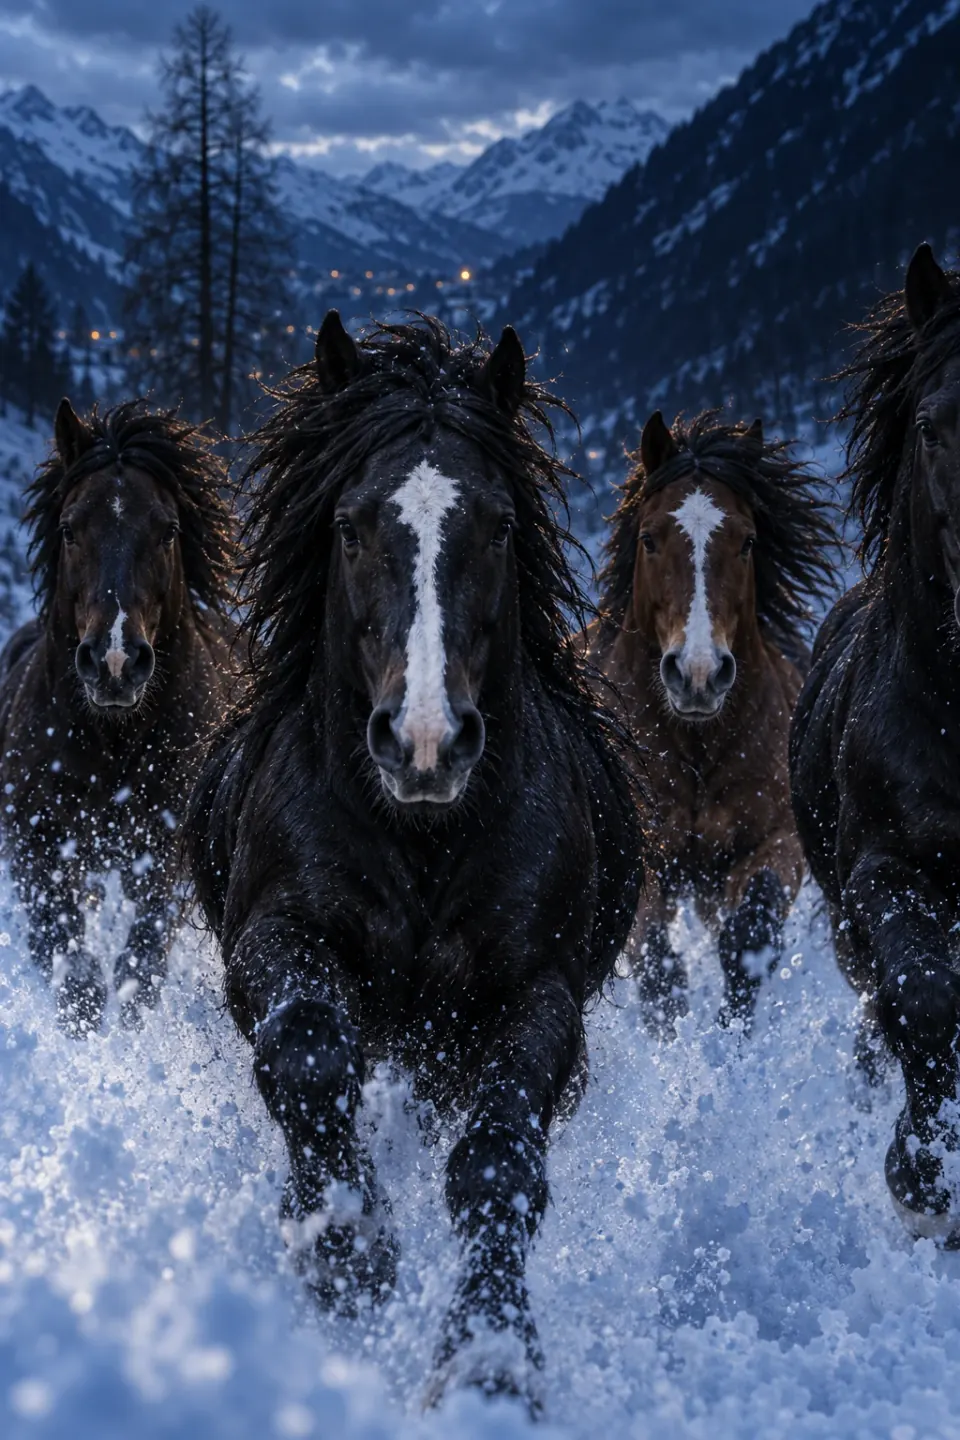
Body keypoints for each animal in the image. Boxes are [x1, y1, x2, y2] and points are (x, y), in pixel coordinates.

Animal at [0, 398, 237, 1035]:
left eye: (169, 530)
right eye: (68, 528)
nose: (114, 660)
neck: (111, 742)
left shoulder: (161, 856)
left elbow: (140, 967)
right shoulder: (40, 853)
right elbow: (73, 969)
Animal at [184, 312, 643, 1411]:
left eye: (502, 528)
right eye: (351, 527)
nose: (426, 742)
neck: (423, 840)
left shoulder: (535, 992)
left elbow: (497, 1156)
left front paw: (490, 1358)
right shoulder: (273, 938)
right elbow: (308, 1051)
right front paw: (347, 1250)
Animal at [589, 410, 836, 1035]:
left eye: (747, 541)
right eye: (649, 538)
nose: (698, 673)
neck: (697, 747)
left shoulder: (776, 842)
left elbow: (747, 942)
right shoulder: (646, 866)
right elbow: (657, 966)